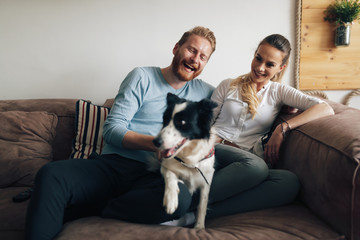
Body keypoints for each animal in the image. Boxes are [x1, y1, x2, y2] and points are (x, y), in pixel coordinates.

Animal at [151, 92, 218, 229]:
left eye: (182, 122)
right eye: (165, 119)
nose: (155, 142)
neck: (189, 160)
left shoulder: (206, 180)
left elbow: (202, 204)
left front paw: (199, 227)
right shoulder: (165, 165)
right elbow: (170, 175)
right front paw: (171, 199)